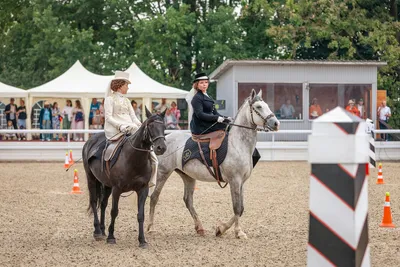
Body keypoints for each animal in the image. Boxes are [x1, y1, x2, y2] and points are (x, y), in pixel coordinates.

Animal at [82, 108, 166, 249]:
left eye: (164, 127)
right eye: (150, 126)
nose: (161, 148)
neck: (133, 158)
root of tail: (90, 140)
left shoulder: (142, 190)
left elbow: (140, 215)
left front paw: (142, 240)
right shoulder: (117, 189)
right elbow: (114, 211)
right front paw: (111, 237)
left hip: (106, 185)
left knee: (103, 204)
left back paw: (103, 230)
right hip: (91, 178)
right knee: (94, 202)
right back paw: (98, 232)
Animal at [148, 89, 282, 240]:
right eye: (258, 107)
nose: (276, 123)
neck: (238, 144)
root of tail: (163, 140)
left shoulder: (241, 182)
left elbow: (241, 208)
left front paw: (221, 229)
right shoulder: (235, 180)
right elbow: (236, 207)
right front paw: (237, 232)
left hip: (188, 176)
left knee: (188, 200)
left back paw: (200, 228)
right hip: (163, 173)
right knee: (154, 197)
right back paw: (150, 227)